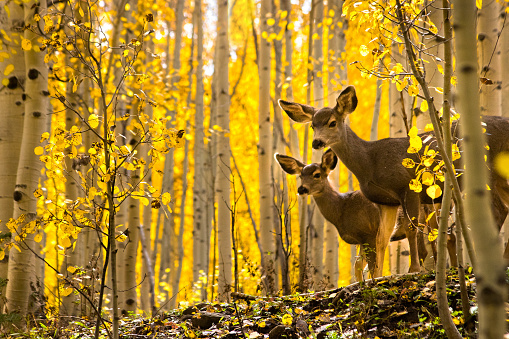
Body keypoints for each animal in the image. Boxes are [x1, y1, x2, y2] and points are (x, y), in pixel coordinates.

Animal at [280, 85, 508, 274]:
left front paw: (413, 269)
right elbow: (383, 239)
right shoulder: (387, 202)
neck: (370, 162)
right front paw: (378, 278)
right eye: (312, 125)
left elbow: (411, 228)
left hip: (486, 172)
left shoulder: (408, 186)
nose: (317, 142)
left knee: (499, 211)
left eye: (332, 122)